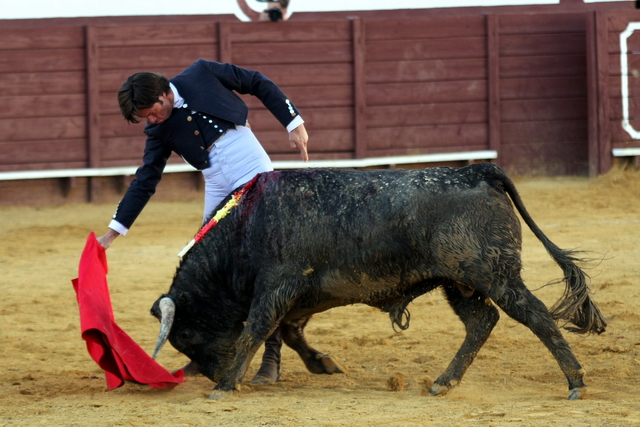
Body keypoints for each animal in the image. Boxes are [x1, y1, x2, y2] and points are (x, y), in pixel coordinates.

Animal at [149, 164, 604, 402]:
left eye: (185, 334)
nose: (211, 375)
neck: (246, 227)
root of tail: (477, 170)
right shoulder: (299, 297)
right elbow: (289, 333)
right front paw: (322, 363)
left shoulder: (277, 285)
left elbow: (254, 330)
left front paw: (226, 386)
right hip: (457, 282)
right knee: (482, 321)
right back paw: (443, 381)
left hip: (494, 275)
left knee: (537, 316)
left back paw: (576, 382)